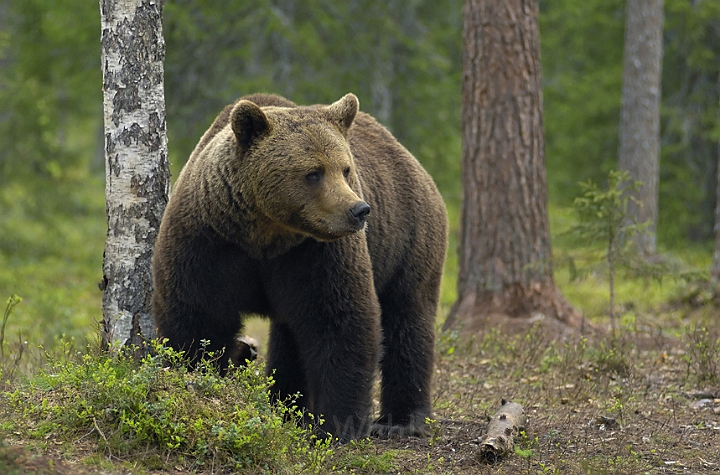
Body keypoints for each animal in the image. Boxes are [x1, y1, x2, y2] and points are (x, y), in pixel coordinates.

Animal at [150, 93, 444, 442]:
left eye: (346, 169)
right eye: (314, 172)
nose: (359, 210)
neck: (265, 234)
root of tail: (410, 158)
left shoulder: (316, 255)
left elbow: (340, 321)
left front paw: (337, 424)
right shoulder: (208, 242)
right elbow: (198, 318)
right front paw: (194, 378)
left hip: (407, 239)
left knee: (407, 318)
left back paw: (399, 420)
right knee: (290, 335)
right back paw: (287, 407)